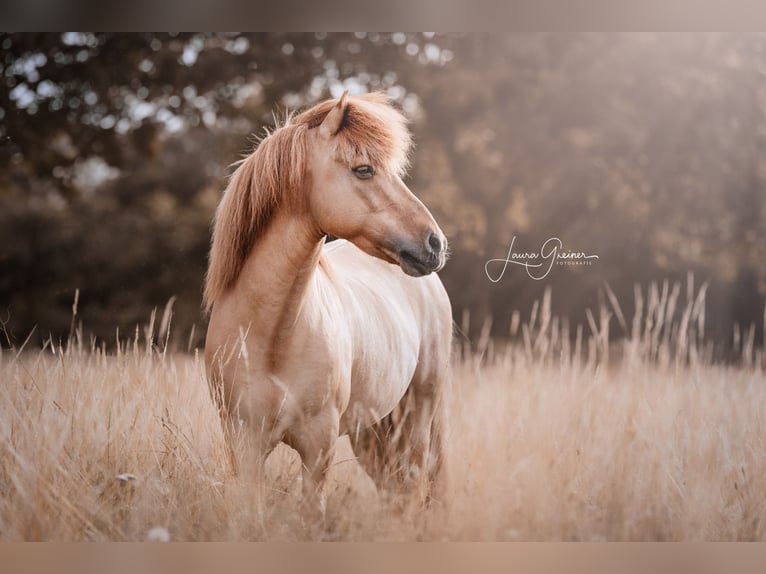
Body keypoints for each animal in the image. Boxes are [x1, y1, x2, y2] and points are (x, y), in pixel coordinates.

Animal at [206, 90, 456, 508]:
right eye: (364, 170)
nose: (435, 243)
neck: (272, 336)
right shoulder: (243, 446)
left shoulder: (317, 449)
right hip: (371, 430)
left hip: (418, 417)